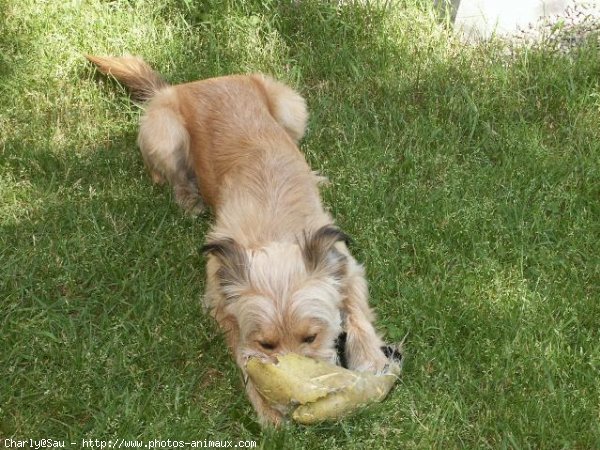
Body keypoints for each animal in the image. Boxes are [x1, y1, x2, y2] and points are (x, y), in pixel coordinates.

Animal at [88, 54, 390, 424]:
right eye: (266, 344)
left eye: (311, 336)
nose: (299, 389)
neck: (275, 230)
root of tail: (188, 85)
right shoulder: (219, 299)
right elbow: (241, 355)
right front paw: (266, 407)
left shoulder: (346, 264)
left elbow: (358, 311)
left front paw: (371, 360)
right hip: (164, 133)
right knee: (166, 175)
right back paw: (188, 199)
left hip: (292, 107)